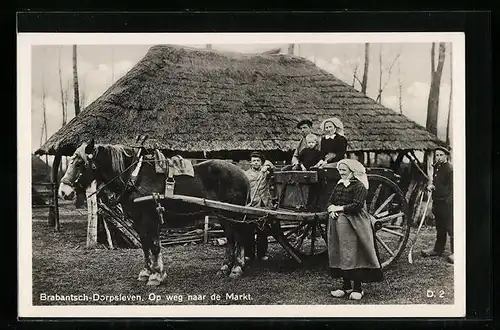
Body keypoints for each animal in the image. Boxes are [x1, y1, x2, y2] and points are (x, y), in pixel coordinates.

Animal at [56, 139, 256, 286]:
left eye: (80, 163)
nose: (63, 192)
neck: (134, 176)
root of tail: (242, 173)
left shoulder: (150, 218)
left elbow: (154, 245)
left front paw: (157, 276)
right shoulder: (138, 221)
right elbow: (145, 245)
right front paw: (146, 272)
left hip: (233, 214)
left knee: (239, 238)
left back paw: (236, 268)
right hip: (223, 214)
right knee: (231, 239)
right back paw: (225, 268)